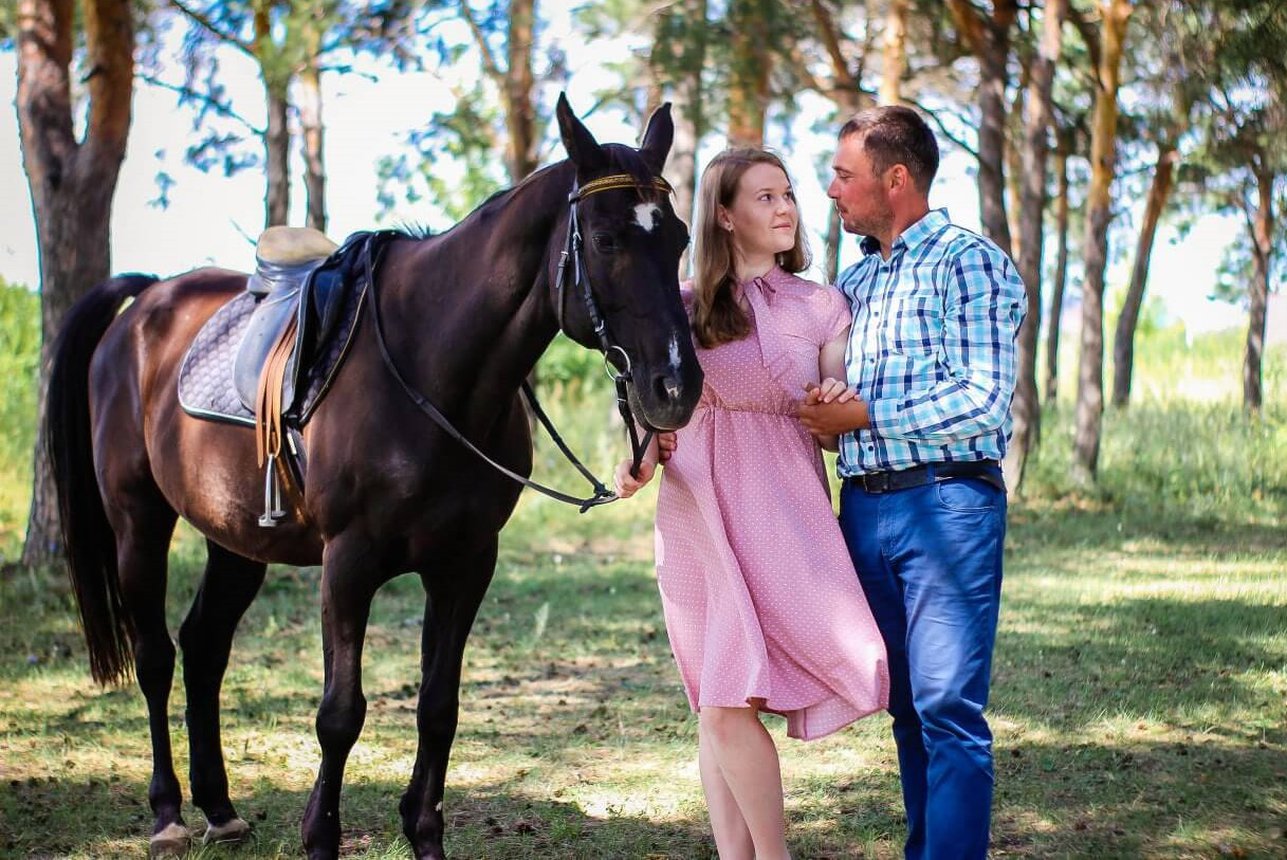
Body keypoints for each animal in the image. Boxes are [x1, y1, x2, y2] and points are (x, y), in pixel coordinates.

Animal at [47, 95, 705, 860]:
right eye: (603, 240)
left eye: (679, 238)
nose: (676, 387)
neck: (430, 369)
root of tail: (147, 301)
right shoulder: (349, 563)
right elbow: (340, 714)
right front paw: (320, 837)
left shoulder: (465, 564)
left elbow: (438, 707)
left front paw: (424, 836)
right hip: (139, 520)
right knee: (154, 656)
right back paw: (167, 814)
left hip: (235, 539)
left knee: (205, 647)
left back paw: (220, 807)